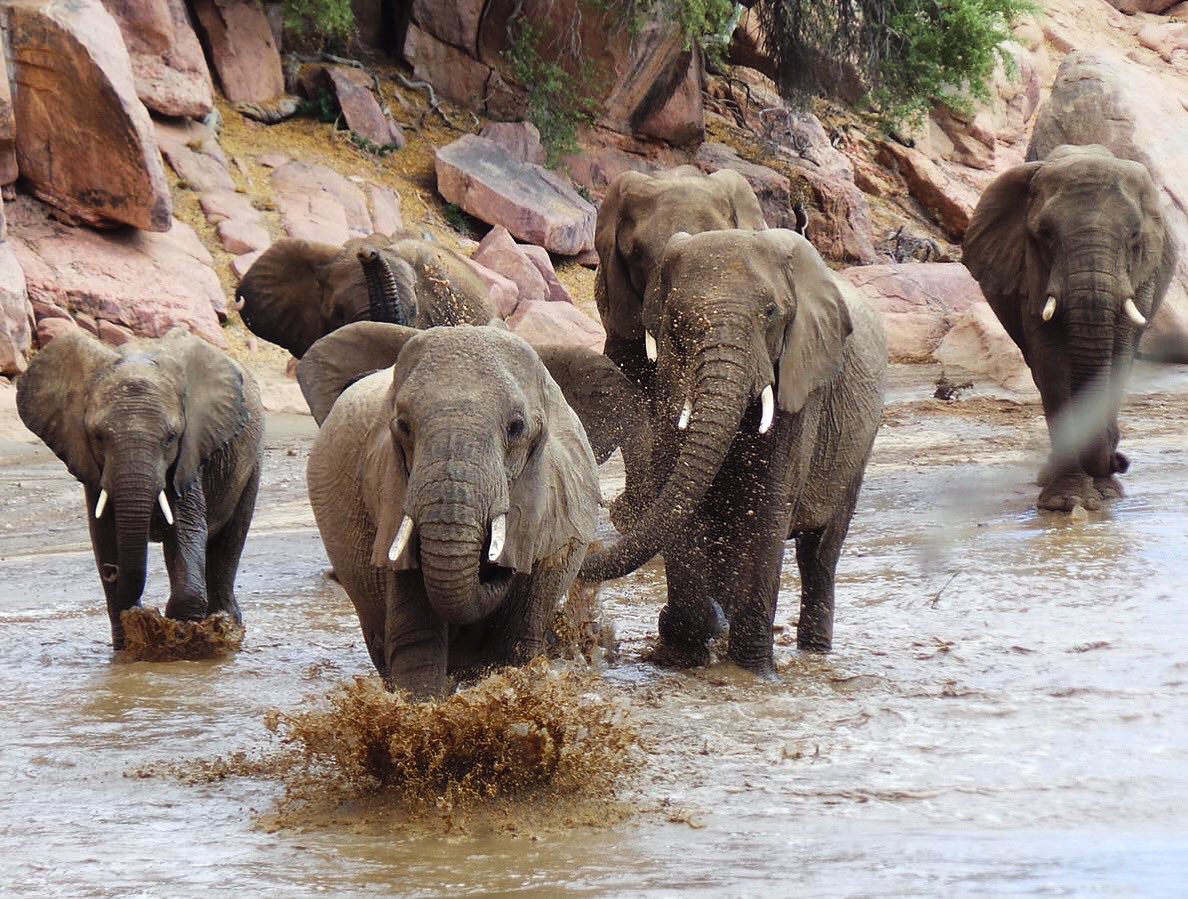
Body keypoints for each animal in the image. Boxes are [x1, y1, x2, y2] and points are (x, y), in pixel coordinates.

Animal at [16, 328, 264, 649]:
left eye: (171, 438)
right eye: (97, 437)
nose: (113, 571)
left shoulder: (191, 452)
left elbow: (186, 527)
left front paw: (182, 634)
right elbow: (104, 534)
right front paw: (133, 640)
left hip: (252, 462)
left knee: (228, 545)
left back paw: (227, 626)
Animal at [579, 229, 887, 678]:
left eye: (771, 313)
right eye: (676, 322)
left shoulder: (800, 386)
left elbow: (767, 510)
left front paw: (752, 672)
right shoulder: (670, 377)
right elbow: (680, 502)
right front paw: (686, 650)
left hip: (858, 446)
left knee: (820, 554)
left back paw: (814, 653)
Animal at [963, 144, 1176, 512]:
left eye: (1134, 236)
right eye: (1045, 235)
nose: (1119, 461)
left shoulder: (1143, 277)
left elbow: (1119, 356)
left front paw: (1106, 494)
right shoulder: (1031, 271)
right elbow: (1053, 365)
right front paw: (1067, 501)